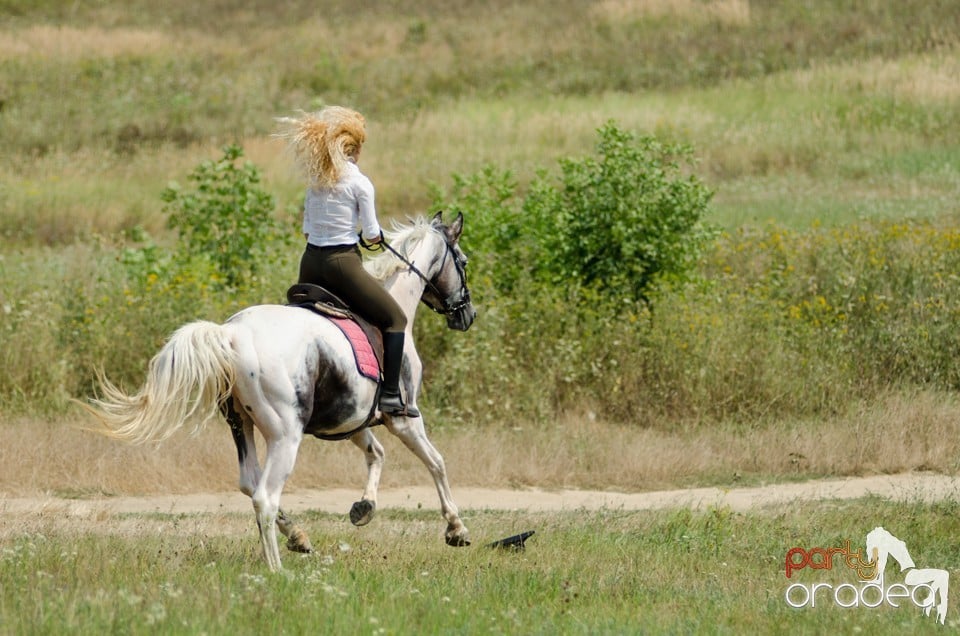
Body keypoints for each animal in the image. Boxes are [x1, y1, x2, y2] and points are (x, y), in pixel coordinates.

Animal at [88, 211, 478, 568]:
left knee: (249, 482)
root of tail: (231, 333)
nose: (467, 315)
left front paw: (364, 507)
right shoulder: (403, 419)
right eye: (463, 261)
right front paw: (456, 528)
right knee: (264, 496)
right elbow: (436, 462)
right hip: (285, 435)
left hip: (240, 424)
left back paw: (297, 537)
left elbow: (376, 453)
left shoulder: (351, 417)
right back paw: (277, 571)